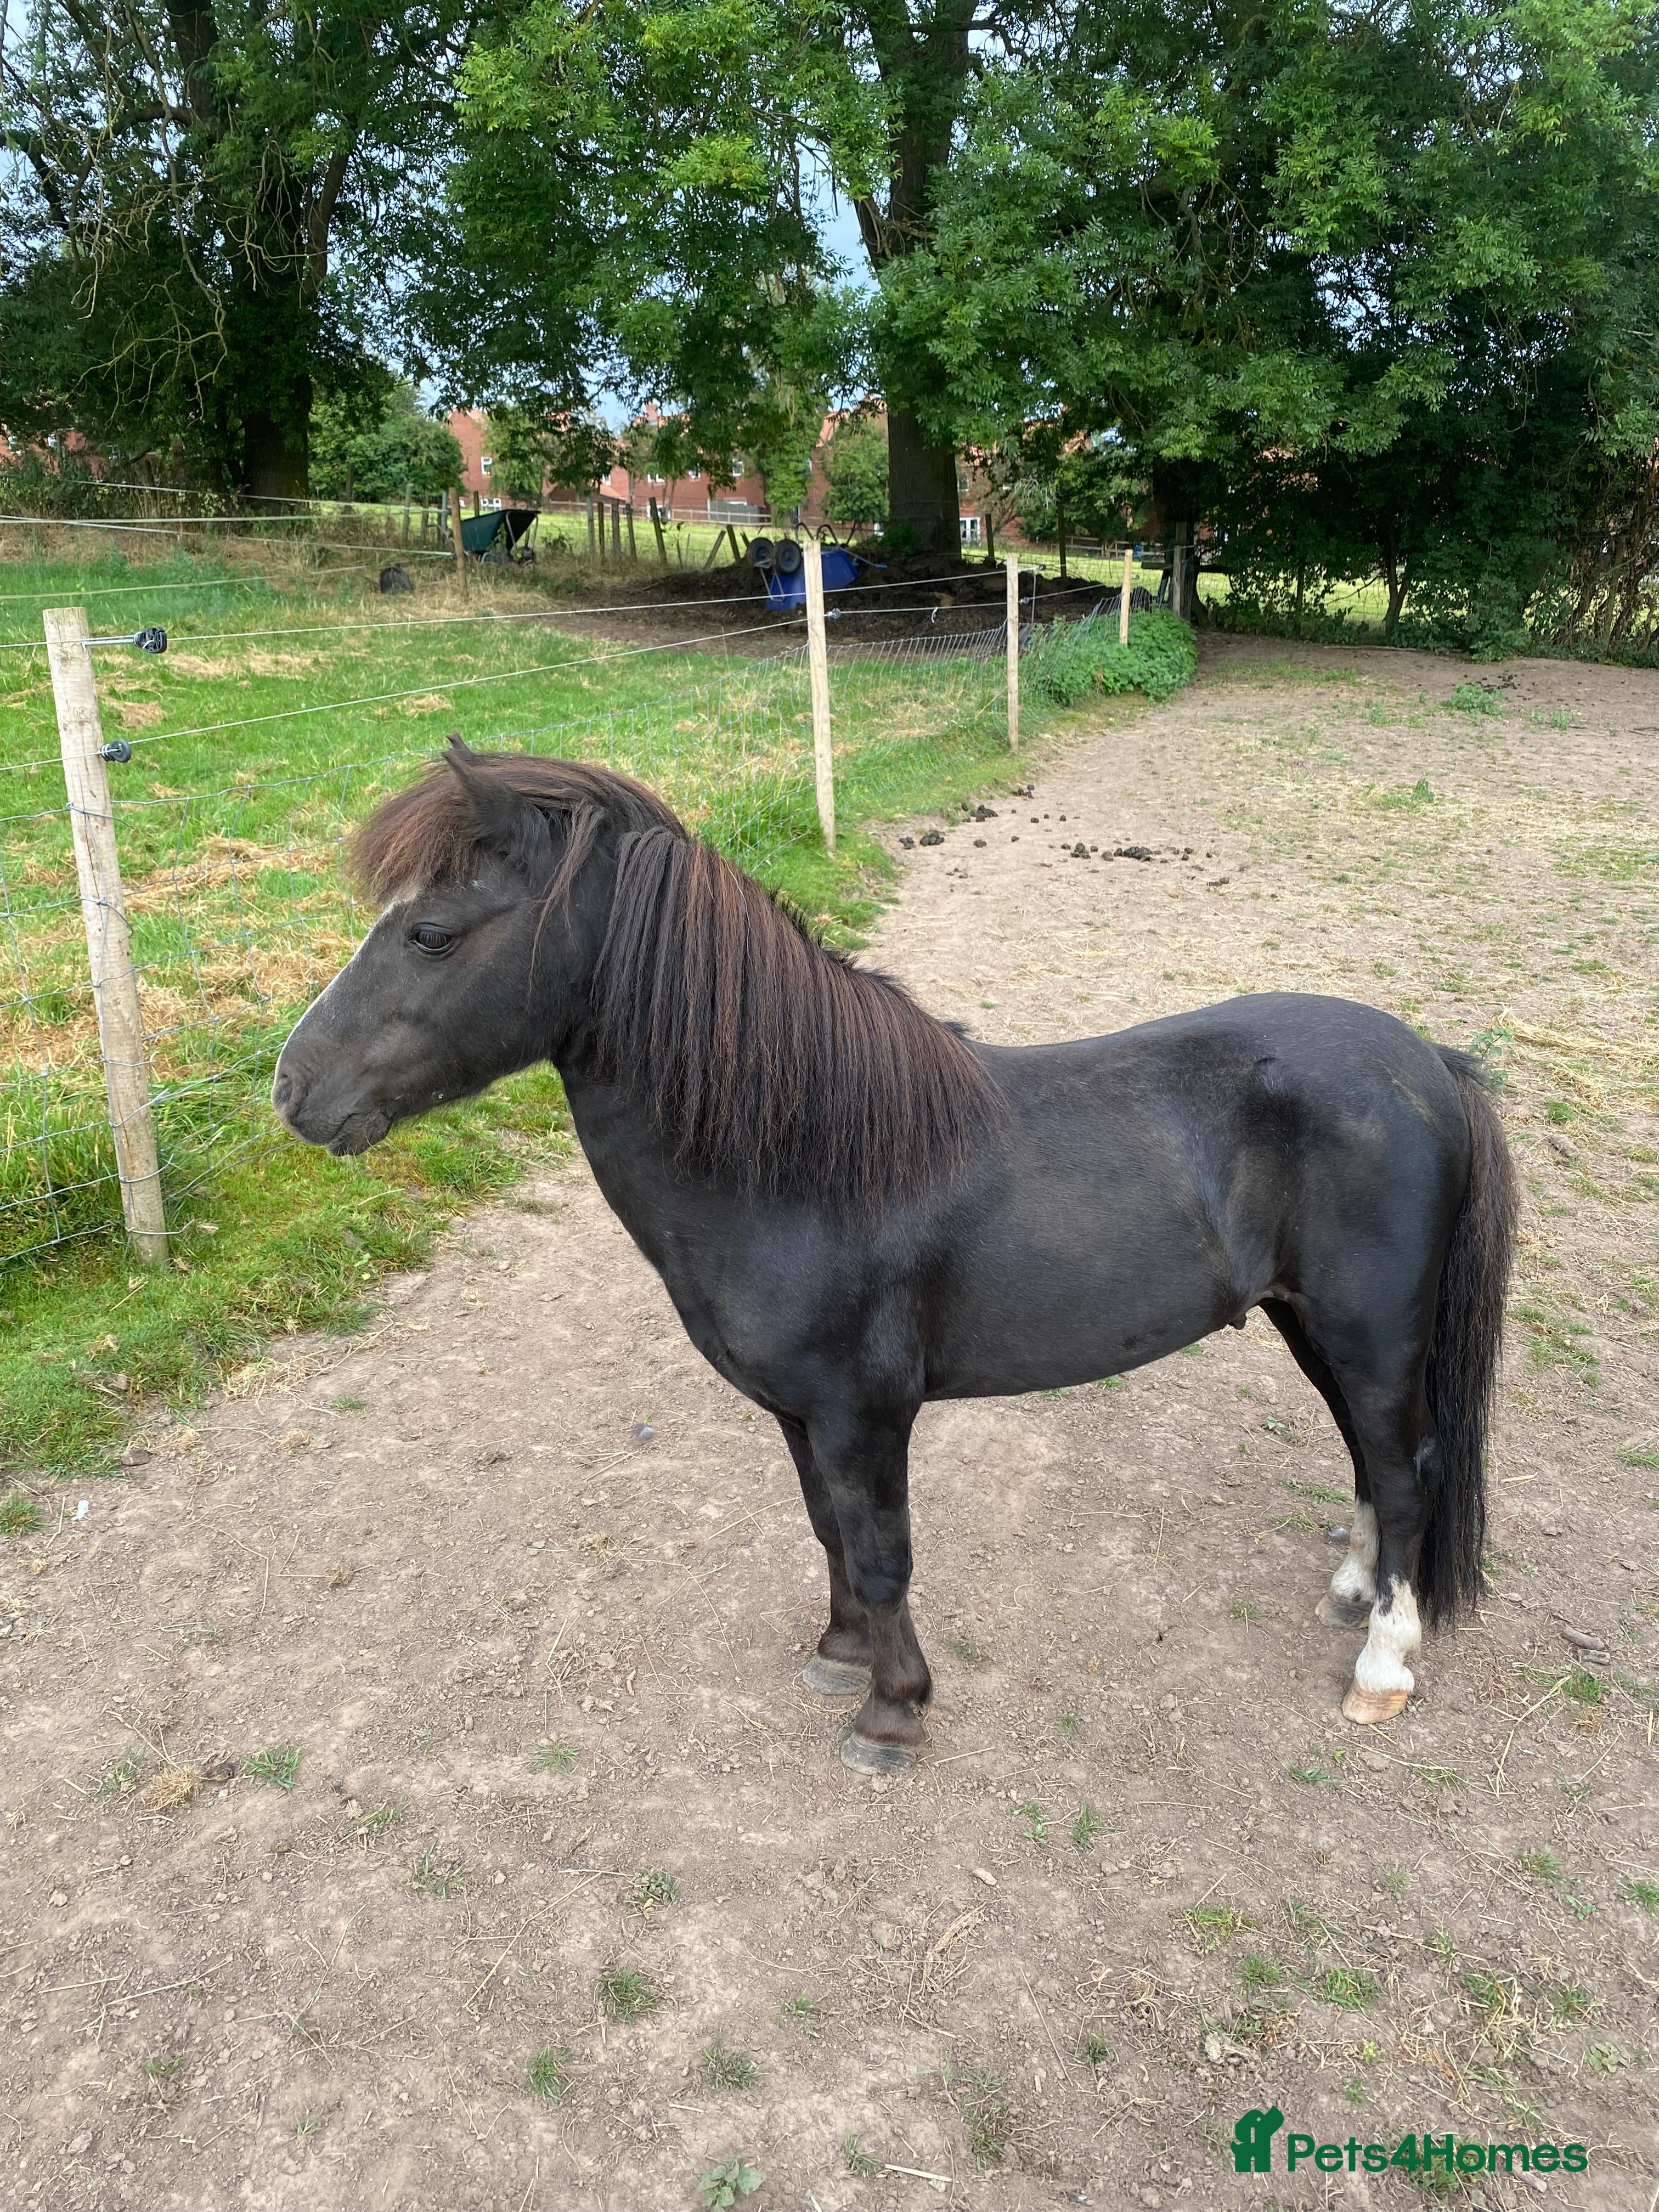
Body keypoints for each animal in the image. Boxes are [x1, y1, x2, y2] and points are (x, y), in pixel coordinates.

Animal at [272, 739, 1517, 1771]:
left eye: (431, 932)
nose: (291, 1089)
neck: (802, 1162)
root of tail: (1428, 1062)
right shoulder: (797, 1414)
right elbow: (828, 1532)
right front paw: (840, 1652)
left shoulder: (863, 1413)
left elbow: (882, 1552)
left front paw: (893, 1709)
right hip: (1314, 1325)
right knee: (1372, 1464)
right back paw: (1353, 1592)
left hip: (1369, 1333)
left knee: (1405, 1469)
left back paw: (1383, 1664)